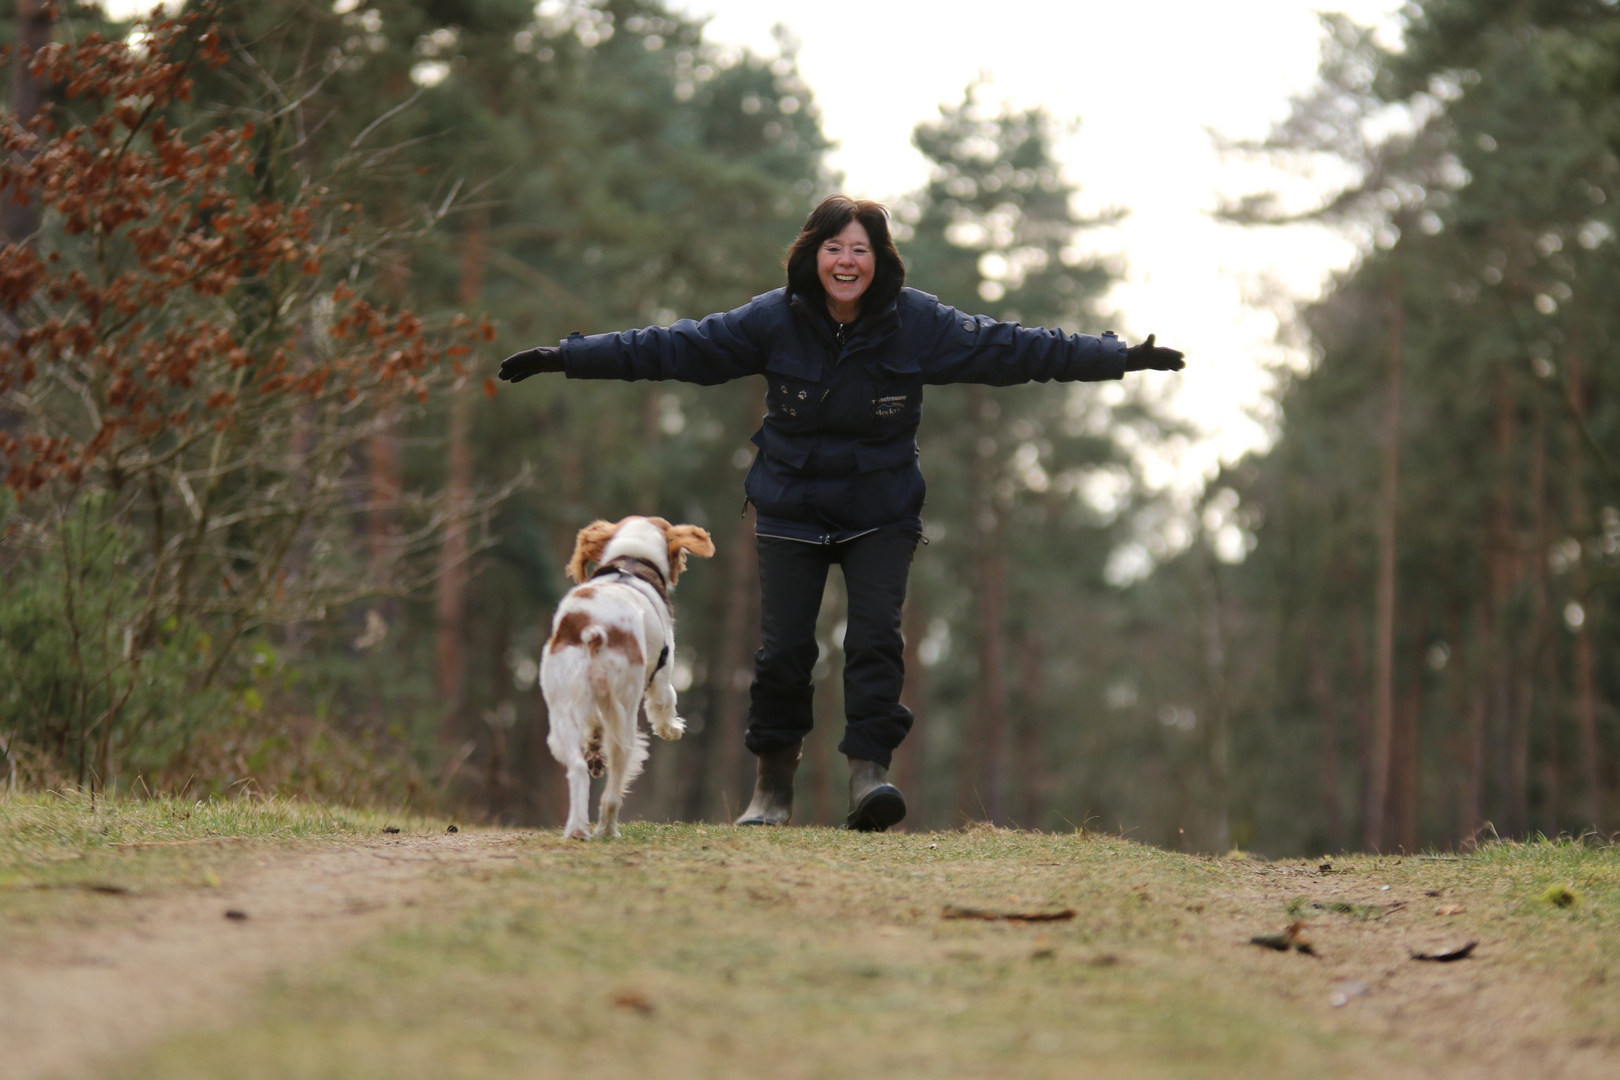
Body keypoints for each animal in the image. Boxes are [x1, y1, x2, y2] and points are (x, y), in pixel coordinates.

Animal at [541, 518, 712, 841]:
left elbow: (593, 729)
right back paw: (607, 828)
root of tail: (593, 626)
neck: (632, 560)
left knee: (577, 768)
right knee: (615, 779)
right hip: (626, 708)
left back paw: (577, 829)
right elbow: (667, 702)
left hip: (562, 709)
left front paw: (594, 749)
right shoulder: (663, 673)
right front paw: (673, 729)